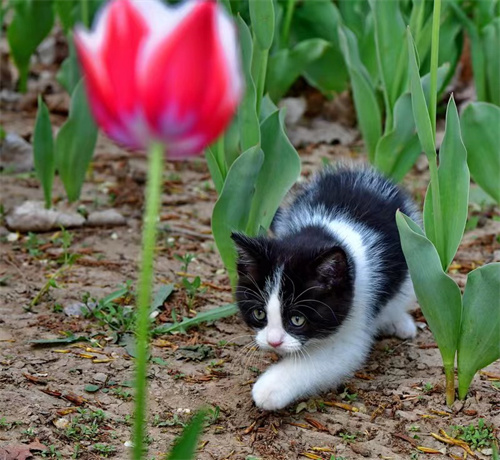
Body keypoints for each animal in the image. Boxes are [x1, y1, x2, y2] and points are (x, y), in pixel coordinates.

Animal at [232, 165, 420, 410]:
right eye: (259, 313)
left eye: (297, 319)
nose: (274, 342)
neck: (326, 233)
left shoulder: (358, 308)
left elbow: (327, 357)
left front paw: (269, 389)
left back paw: (399, 322)